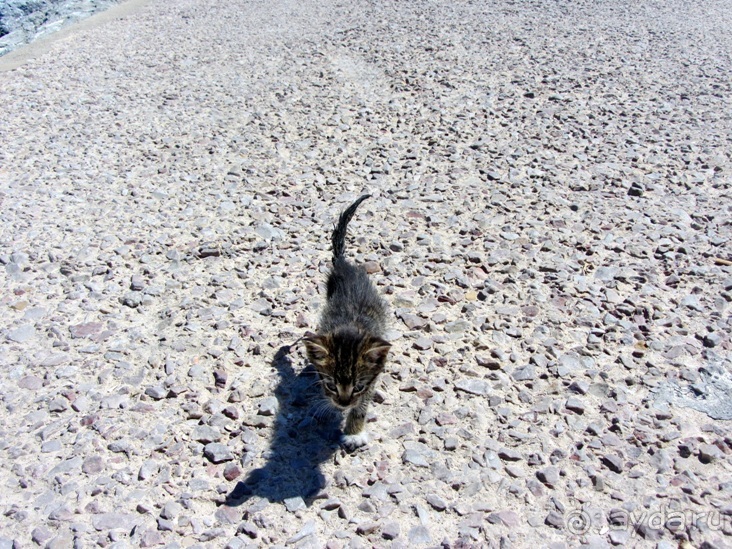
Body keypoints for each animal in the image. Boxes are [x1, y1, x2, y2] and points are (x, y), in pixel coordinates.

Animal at [302, 194, 392, 450]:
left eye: (358, 387)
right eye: (332, 385)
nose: (342, 404)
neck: (350, 328)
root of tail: (343, 264)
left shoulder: (370, 382)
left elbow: (362, 406)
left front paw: (354, 432)